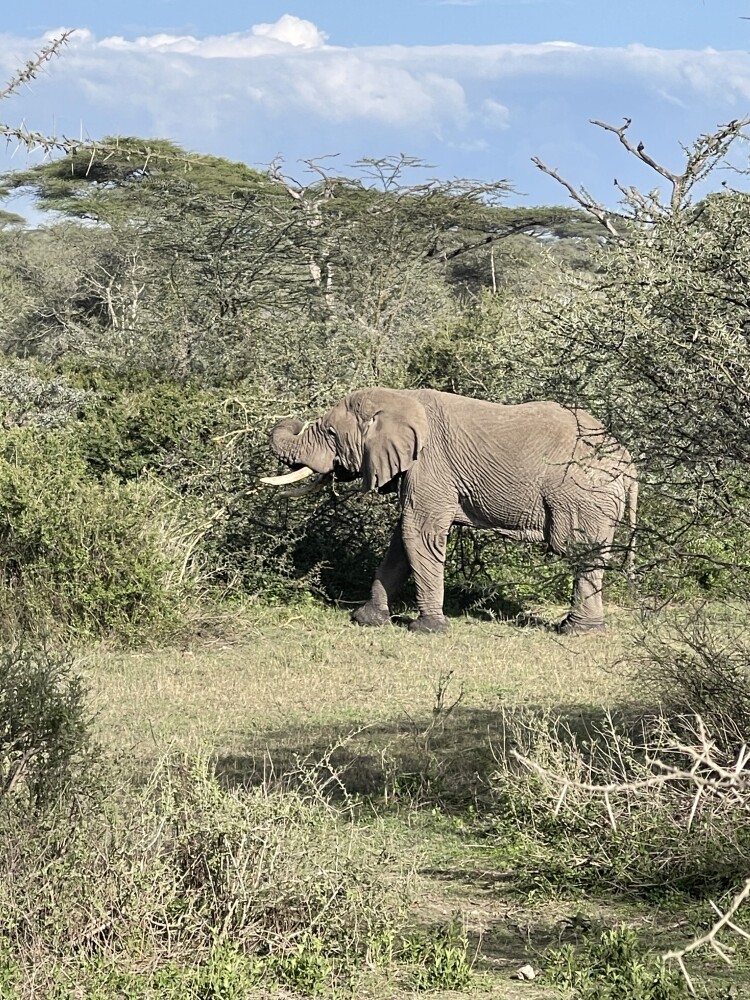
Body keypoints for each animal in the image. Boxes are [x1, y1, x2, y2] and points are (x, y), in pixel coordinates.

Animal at [261, 387, 638, 634]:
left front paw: (427, 629)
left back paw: (578, 631)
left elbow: (417, 532)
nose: (294, 418)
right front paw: (367, 620)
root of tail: (629, 462)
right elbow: (401, 541)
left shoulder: (430, 465)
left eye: (329, 432)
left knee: (580, 552)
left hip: (584, 495)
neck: (399, 399)